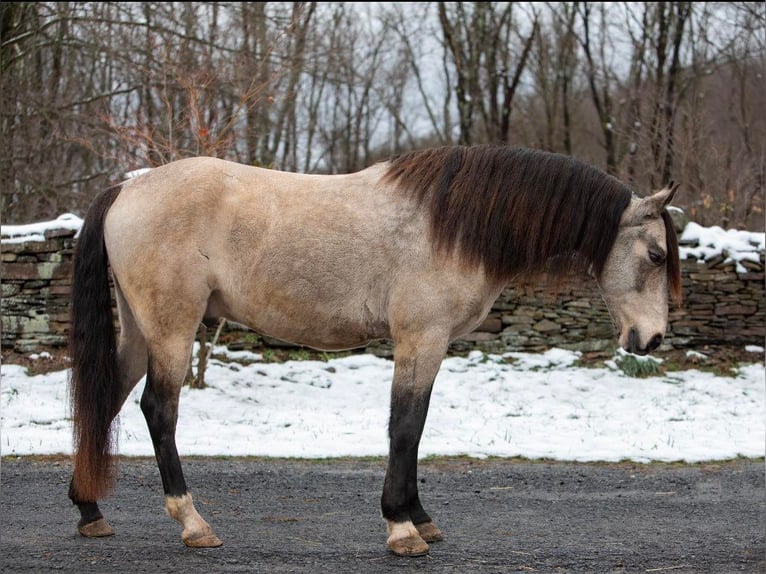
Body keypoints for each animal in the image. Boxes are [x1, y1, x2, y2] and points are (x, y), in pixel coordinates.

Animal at [67, 144, 684, 560]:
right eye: (655, 255)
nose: (651, 340)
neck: (450, 225)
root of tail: (127, 189)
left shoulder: (429, 344)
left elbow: (416, 424)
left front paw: (419, 517)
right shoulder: (421, 338)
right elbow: (406, 425)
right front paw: (402, 527)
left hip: (142, 331)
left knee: (107, 399)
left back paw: (89, 509)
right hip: (173, 329)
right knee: (158, 411)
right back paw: (192, 522)